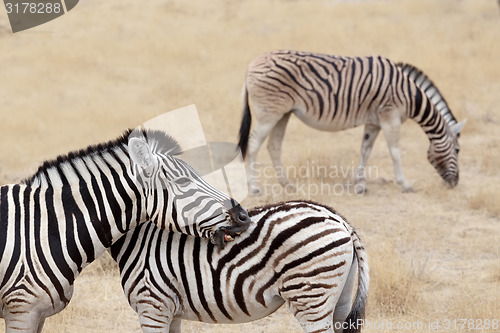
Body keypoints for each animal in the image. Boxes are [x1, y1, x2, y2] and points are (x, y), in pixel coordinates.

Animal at [111, 200, 368, 332]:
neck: (138, 238)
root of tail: (338, 219)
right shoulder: (169, 311)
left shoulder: (152, 306)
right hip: (339, 298)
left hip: (311, 297)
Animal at [237, 50, 464, 195]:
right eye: (458, 150)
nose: (455, 184)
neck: (410, 94)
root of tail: (250, 64)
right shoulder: (389, 116)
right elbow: (395, 152)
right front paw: (405, 184)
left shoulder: (374, 122)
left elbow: (365, 150)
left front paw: (360, 184)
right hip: (268, 113)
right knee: (254, 144)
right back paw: (253, 187)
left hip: (283, 113)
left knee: (274, 145)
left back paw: (287, 185)